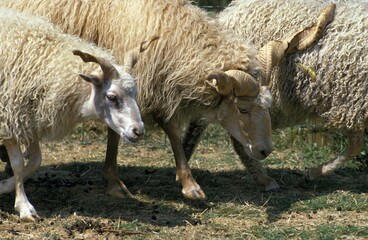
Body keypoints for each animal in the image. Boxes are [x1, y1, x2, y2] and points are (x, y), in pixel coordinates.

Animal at [0, 0, 334, 199]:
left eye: (267, 104)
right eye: (242, 108)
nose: (265, 151)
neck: (170, 36)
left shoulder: (154, 86)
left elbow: (170, 131)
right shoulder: (126, 84)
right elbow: (135, 131)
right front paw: (120, 182)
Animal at [0, 7, 147, 221]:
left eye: (135, 93)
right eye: (112, 97)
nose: (138, 131)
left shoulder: (30, 120)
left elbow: (35, 161)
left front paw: (4, 186)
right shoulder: (9, 118)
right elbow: (19, 164)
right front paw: (25, 207)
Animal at [183, 0, 366, 188]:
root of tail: (229, 13)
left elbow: (355, 146)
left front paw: (314, 172)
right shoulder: (351, 105)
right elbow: (355, 146)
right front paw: (313, 173)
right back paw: (263, 178)